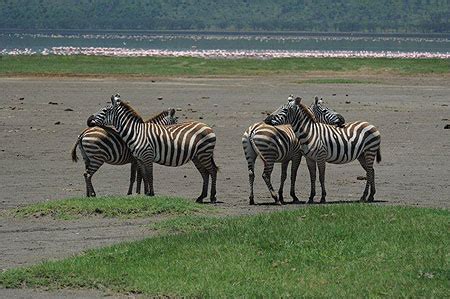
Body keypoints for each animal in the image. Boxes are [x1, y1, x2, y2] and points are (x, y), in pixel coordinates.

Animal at [88, 94, 218, 204]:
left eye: (104, 110)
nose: (89, 120)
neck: (136, 133)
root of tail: (206, 126)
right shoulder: (139, 159)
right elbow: (144, 176)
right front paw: (146, 193)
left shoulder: (147, 156)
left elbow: (149, 176)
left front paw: (151, 194)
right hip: (197, 156)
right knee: (205, 173)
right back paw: (201, 197)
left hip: (204, 153)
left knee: (212, 171)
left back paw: (212, 197)